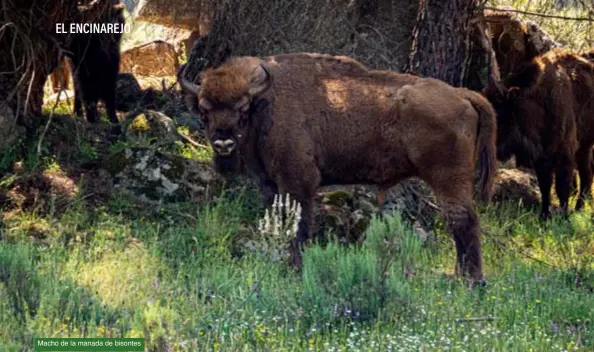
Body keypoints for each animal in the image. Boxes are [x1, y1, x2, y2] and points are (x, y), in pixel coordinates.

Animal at [178, 53, 498, 284]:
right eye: (204, 110)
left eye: (242, 109)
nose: (223, 143)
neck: (268, 102)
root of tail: (461, 94)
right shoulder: (269, 184)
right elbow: (281, 219)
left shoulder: (299, 182)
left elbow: (300, 226)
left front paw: (295, 268)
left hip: (447, 178)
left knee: (464, 220)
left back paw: (469, 280)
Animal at [484, 48, 592, 220]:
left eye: (498, 113)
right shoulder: (542, 157)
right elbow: (545, 187)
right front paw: (544, 216)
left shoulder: (564, 154)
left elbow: (562, 187)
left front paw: (563, 216)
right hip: (585, 146)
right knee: (587, 175)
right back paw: (579, 209)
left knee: (585, 176)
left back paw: (578, 209)